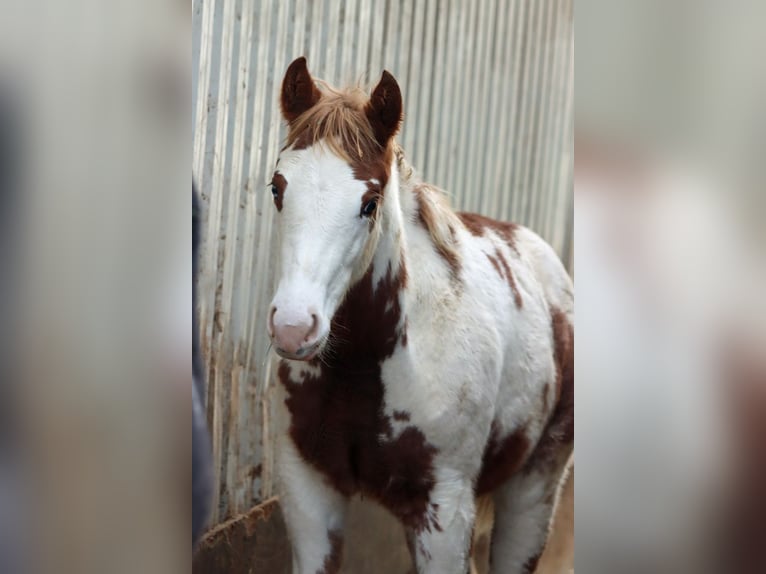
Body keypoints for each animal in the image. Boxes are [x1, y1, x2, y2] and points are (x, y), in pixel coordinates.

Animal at [267, 57, 573, 574]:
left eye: (369, 204)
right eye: (276, 188)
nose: (293, 328)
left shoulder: (444, 510)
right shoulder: (308, 489)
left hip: (533, 490)